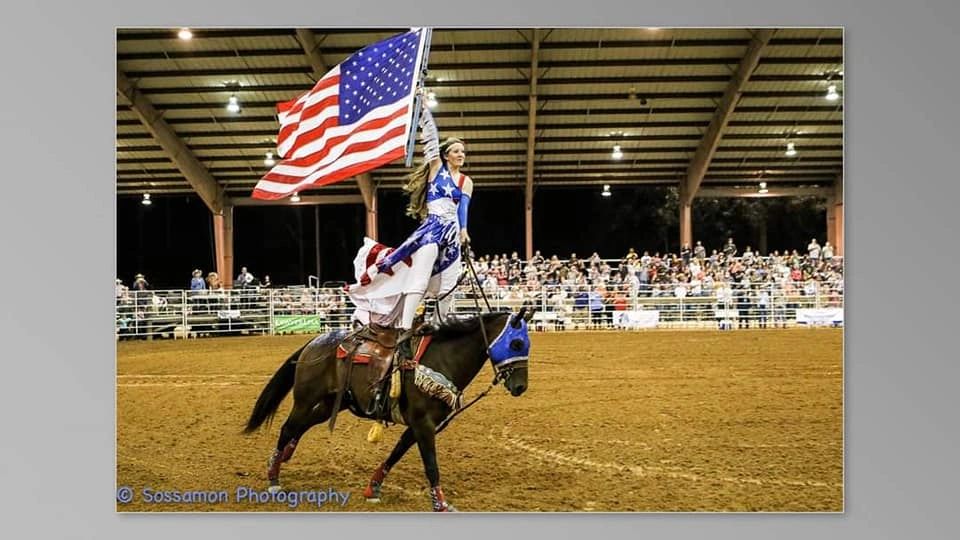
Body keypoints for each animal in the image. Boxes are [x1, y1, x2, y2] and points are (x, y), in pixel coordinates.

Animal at [244, 308, 532, 510]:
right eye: (516, 344)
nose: (521, 387)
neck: (441, 360)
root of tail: (315, 341)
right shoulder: (423, 423)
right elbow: (431, 464)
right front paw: (440, 504)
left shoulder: (422, 425)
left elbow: (396, 453)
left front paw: (373, 488)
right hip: (305, 400)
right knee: (287, 428)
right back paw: (273, 477)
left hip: (330, 404)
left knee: (301, 427)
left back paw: (284, 456)